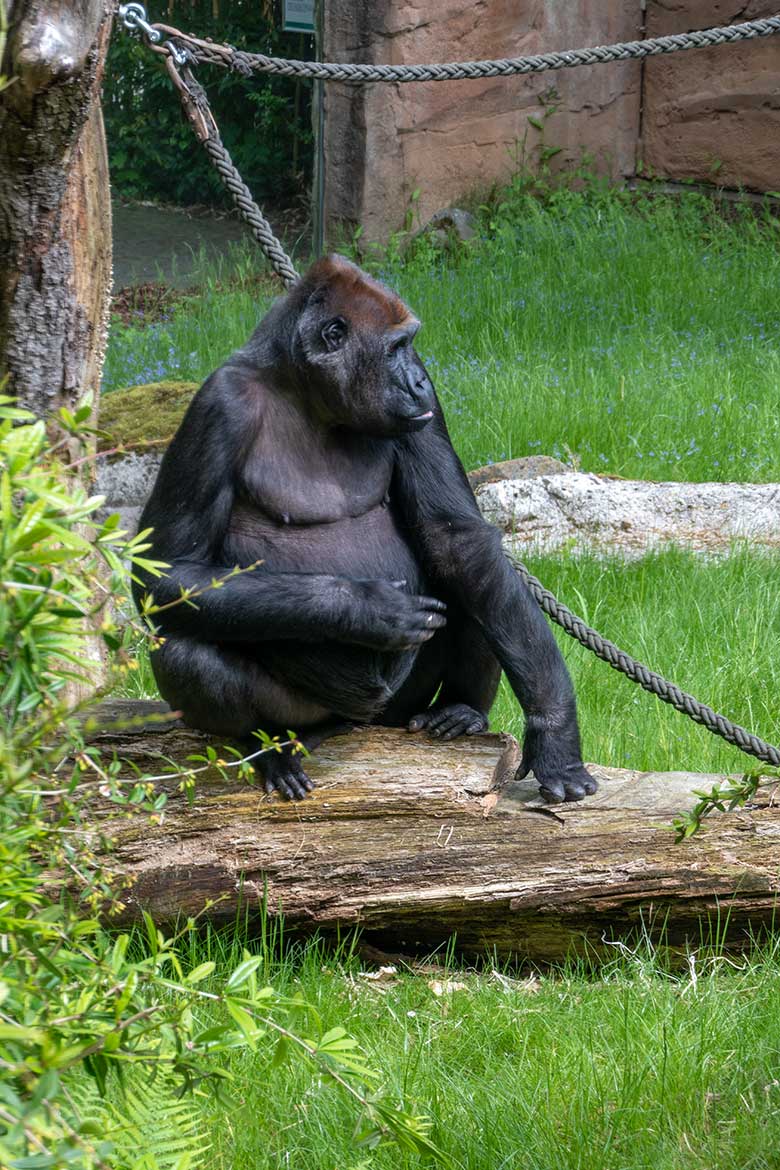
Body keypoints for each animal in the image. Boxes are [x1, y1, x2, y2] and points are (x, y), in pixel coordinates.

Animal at [135, 256, 598, 804]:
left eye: (411, 346)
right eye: (396, 347)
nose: (419, 380)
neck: (306, 394)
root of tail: (353, 725)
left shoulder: (424, 413)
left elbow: (457, 542)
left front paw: (554, 735)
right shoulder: (218, 406)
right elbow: (168, 572)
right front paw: (364, 609)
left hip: (399, 709)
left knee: (474, 580)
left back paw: (460, 710)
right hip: (307, 717)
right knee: (183, 648)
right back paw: (262, 746)